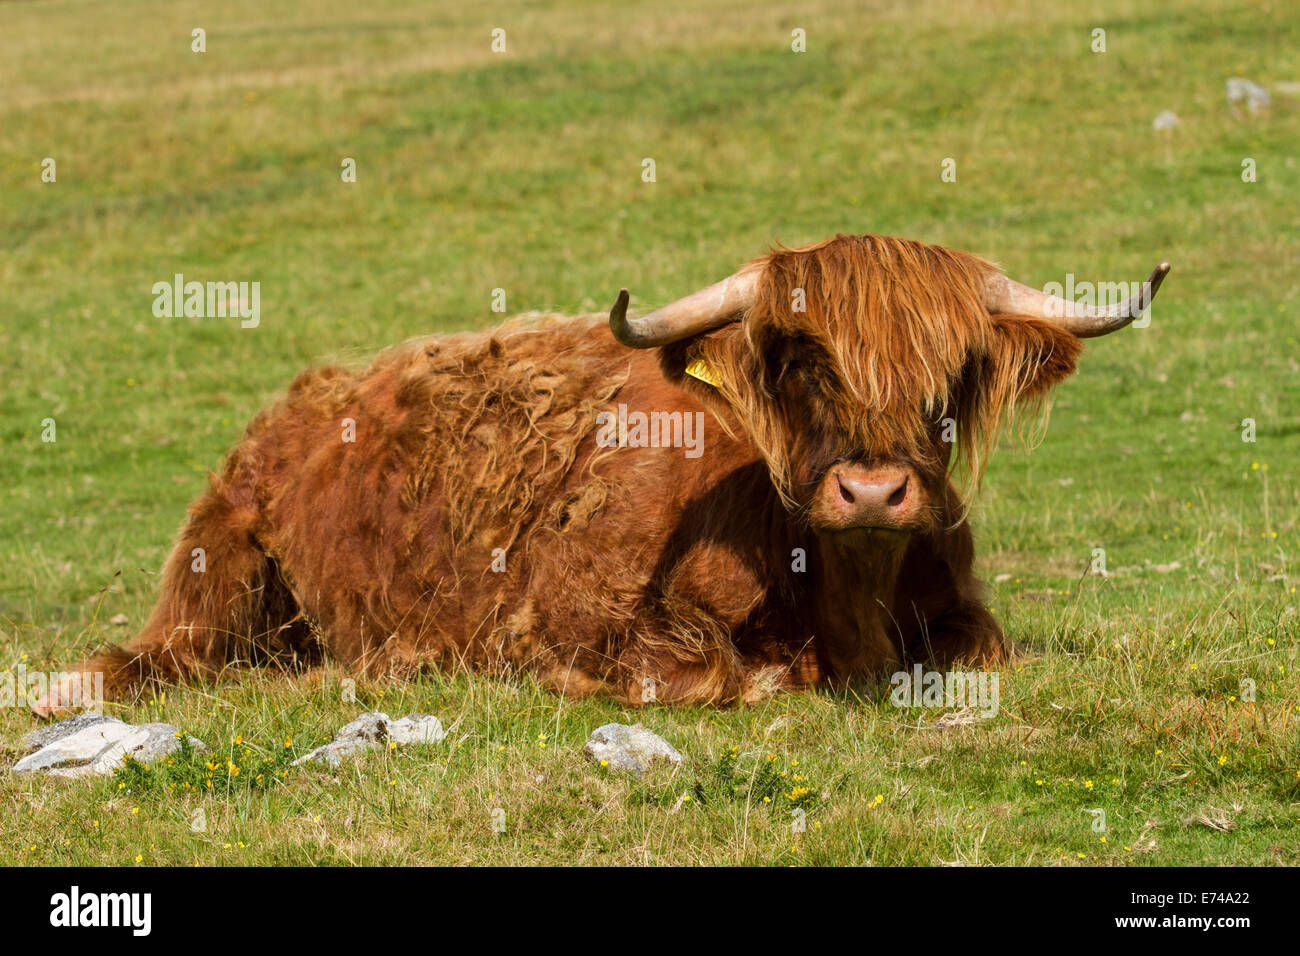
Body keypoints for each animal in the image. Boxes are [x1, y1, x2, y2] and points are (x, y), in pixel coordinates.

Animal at [32, 235, 1170, 717]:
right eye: (798, 361)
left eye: (951, 372)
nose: (875, 492)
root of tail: (303, 397)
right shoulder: (568, 614)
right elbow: (708, 672)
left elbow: (983, 653)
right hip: (212, 567)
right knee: (146, 659)